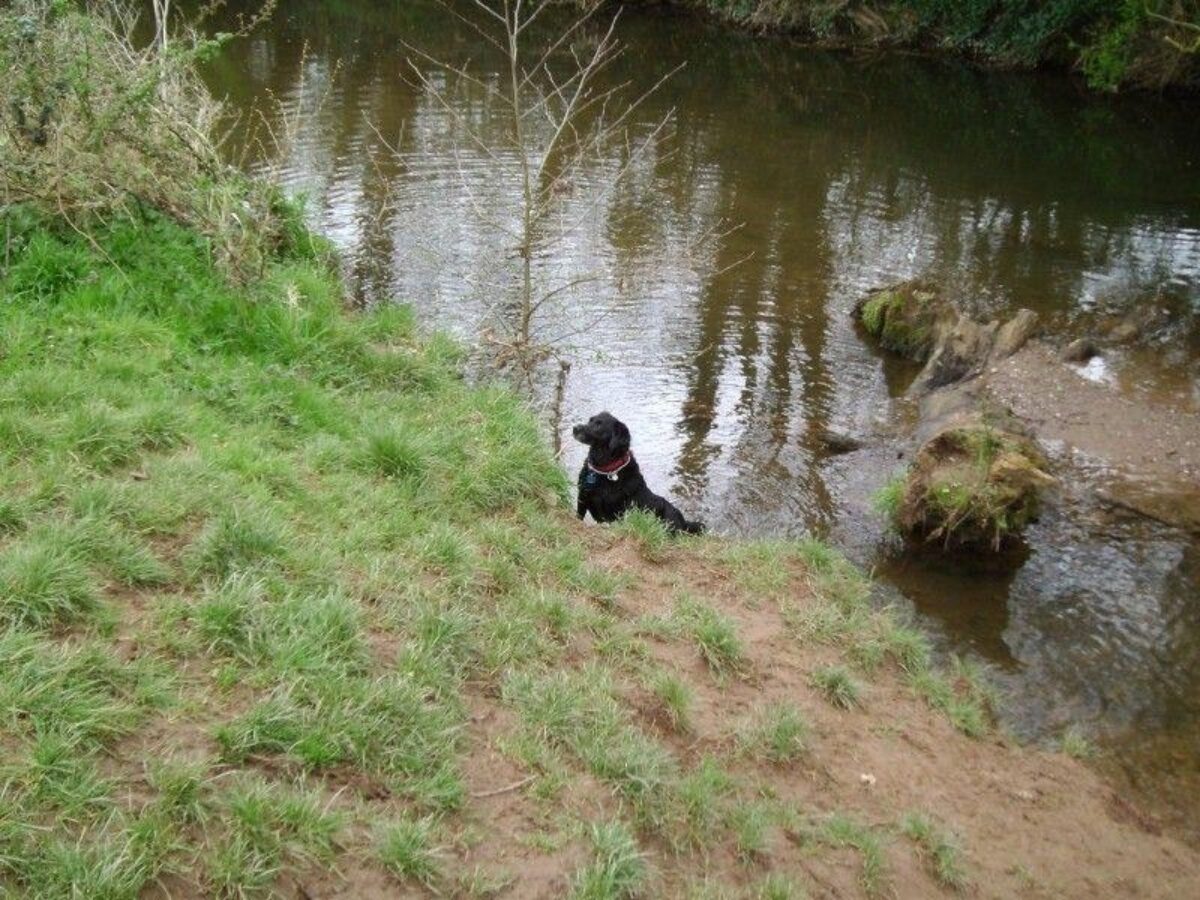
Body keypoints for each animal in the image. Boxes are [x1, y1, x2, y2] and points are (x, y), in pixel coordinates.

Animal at [571, 415, 700, 535]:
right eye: (590, 420)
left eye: (599, 424)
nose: (575, 428)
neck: (604, 470)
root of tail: (684, 523)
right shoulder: (582, 497)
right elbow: (579, 517)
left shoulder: (616, 513)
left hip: (668, 520)